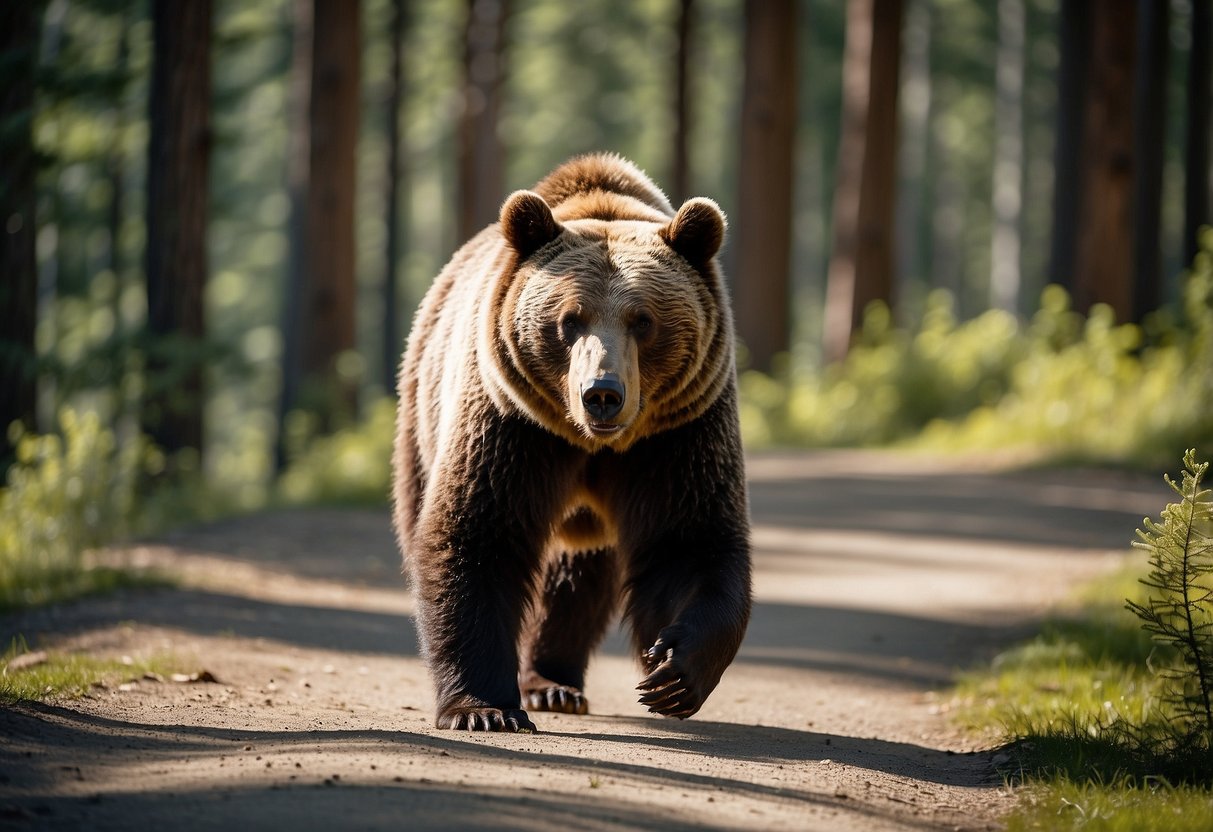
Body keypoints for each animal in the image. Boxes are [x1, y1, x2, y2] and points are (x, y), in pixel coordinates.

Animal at [393, 153, 747, 732]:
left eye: (643, 320)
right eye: (569, 319)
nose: (601, 393)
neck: (593, 446)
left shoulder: (679, 434)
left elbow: (689, 541)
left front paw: (672, 672)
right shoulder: (511, 425)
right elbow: (476, 536)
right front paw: (483, 709)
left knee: (577, 579)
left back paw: (555, 682)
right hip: (422, 416)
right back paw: (547, 687)